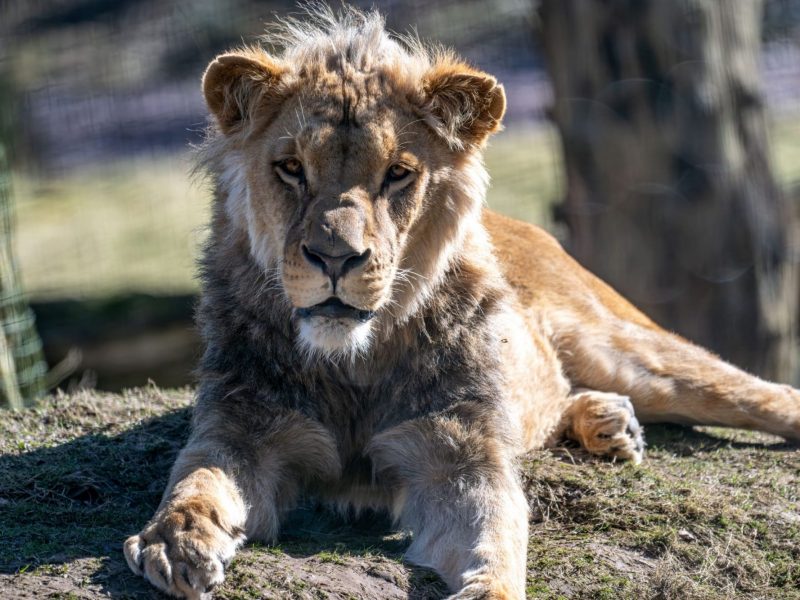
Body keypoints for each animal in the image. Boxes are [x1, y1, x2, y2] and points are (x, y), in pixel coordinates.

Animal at [123, 7, 800, 599]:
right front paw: (175, 541)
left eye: (397, 173)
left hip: (631, 351)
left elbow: (497, 538)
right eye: (290, 167)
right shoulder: (242, 428)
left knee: (763, 394)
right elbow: (197, 479)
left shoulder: (459, 454)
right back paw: (608, 424)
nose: (336, 259)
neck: (354, 364)